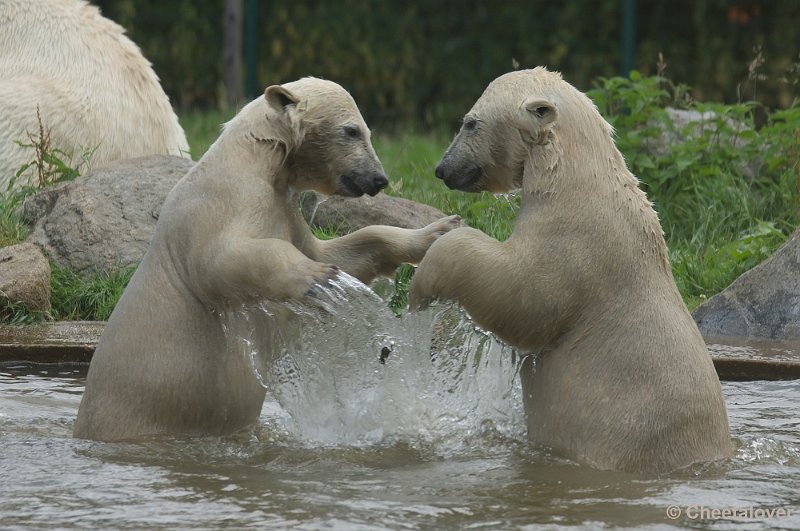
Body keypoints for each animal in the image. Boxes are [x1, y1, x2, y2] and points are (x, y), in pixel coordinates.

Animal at [75, 78, 462, 444]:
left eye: (367, 130)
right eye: (351, 130)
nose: (378, 179)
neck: (257, 160)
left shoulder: (285, 209)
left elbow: (339, 252)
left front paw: (440, 231)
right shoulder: (221, 204)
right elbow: (220, 262)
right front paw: (316, 276)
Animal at [410, 66, 736, 474]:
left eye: (470, 122)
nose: (442, 169)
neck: (573, 178)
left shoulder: (575, 240)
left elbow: (523, 297)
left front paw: (422, 281)